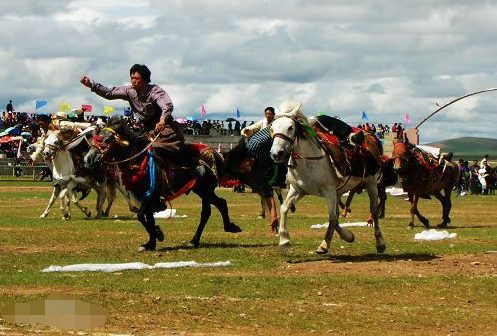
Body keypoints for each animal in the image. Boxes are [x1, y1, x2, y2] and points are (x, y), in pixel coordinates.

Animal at [85, 118, 240, 252]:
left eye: (107, 140)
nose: (88, 159)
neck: (139, 160)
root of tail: (216, 153)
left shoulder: (151, 196)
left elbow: (141, 215)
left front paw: (157, 235)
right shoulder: (145, 196)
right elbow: (147, 218)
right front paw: (151, 242)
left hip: (205, 189)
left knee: (208, 211)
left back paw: (197, 239)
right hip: (201, 190)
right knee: (220, 204)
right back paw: (220, 230)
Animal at [270, 101, 386, 253]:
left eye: (290, 127)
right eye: (272, 127)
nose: (276, 153)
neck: (309, 160)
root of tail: (371, 136)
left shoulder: (329, 191)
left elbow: (332, 218)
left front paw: (324, 245)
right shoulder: (298, 190)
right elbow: (284, 207)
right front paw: (284, 241)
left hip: (371, 183)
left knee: (373, 209)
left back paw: (380, 242)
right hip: (340, 191)